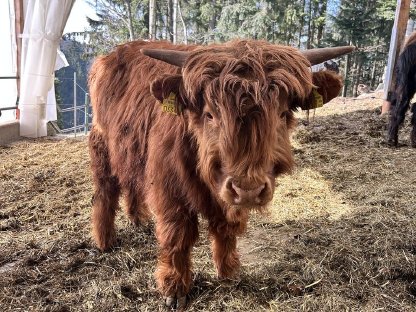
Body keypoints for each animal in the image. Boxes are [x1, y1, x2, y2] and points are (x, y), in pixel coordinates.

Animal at [89, 38, 352, 308]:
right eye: (210, 115)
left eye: (282, 114)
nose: (248, 190)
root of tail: (112, 55)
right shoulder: (170, 192)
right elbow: (177, 236)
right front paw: (175, 288)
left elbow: (226, 229)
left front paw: (228, 272)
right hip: (101, 144)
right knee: (105, 192)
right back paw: (105, 241)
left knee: (130, 182)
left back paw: (137, 219)